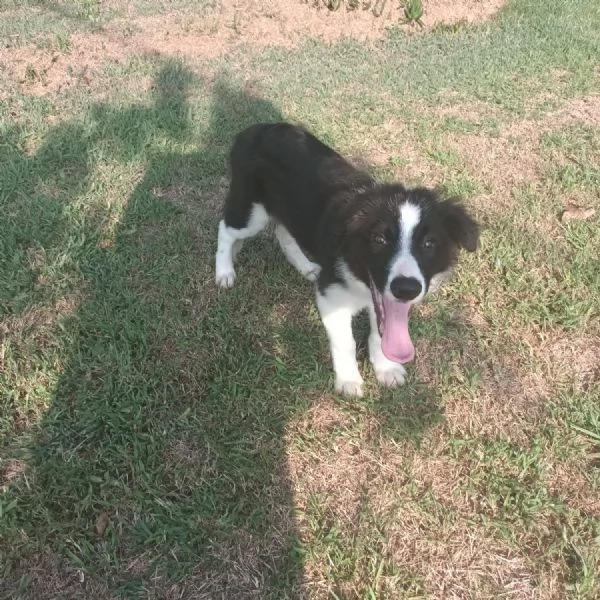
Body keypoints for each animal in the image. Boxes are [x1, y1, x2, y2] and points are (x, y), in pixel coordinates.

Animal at [214, 122, 478, 396]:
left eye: (429, 244)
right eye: (379, 239)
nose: (406, 289)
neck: (360, 280)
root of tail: (255, 128)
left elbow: (381, 331)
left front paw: (386, 368)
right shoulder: (331, 295)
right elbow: (345, 342)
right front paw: (349, 380)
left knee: (283, 232)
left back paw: (306, 267)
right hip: (251, 210)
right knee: (226, 229)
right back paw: (224, 272)